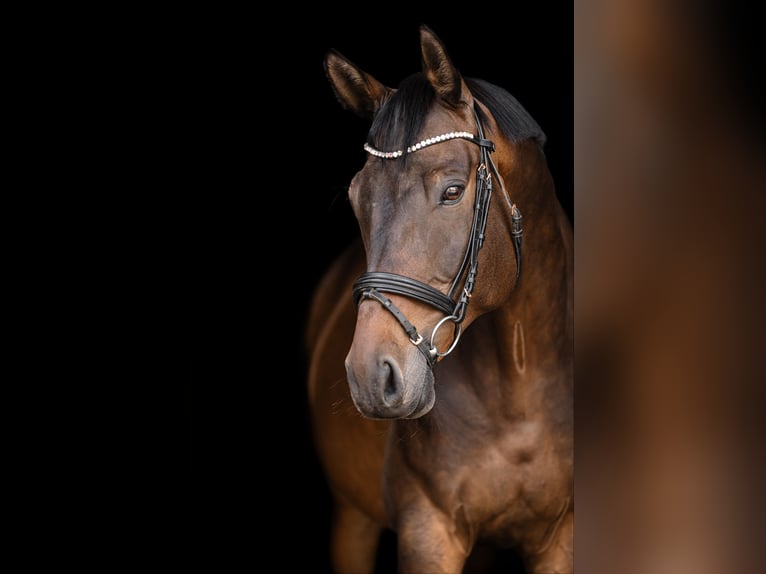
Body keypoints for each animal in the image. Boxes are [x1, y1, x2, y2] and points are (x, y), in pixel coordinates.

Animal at [306, 25, 573, 574]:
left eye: (452, 191)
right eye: (357, 199)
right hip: (351, 517)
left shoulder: (561, 537)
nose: (371, 376)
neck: (519, 386)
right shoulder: (427, 531)